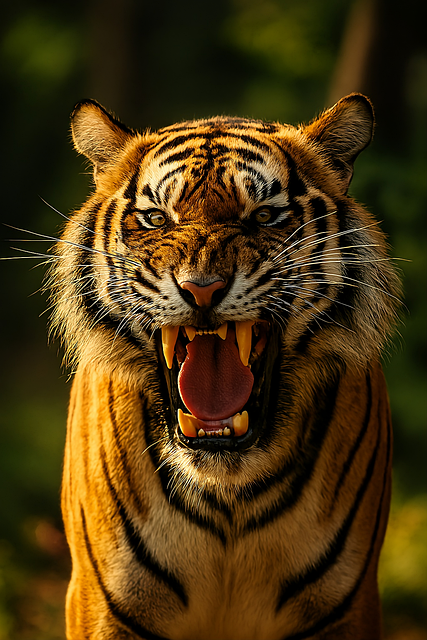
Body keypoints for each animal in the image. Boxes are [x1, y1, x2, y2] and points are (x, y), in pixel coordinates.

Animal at [50, 93, 400, 640]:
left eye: (265, 216)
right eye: (156, 218)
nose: (202, 288)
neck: (227, 493)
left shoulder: (346, 605)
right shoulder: (103, 603)